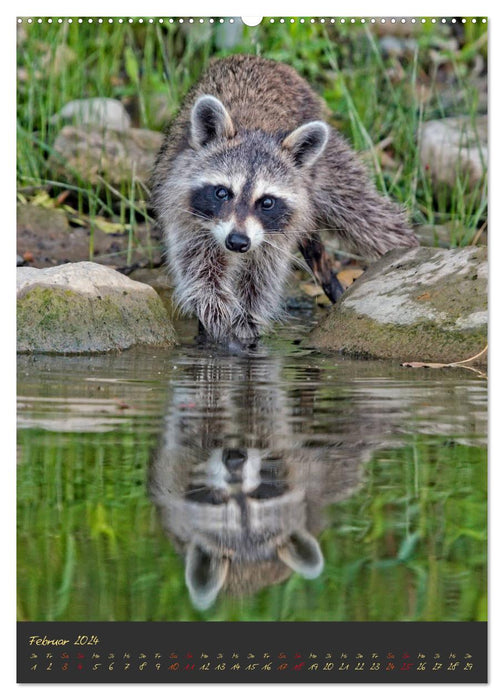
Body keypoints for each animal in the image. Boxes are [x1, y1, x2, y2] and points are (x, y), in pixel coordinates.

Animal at [151, 53, 418, 344]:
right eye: (222, 192)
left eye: (266, 202)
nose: (237, 242)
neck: (253, 127)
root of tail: (261, 59)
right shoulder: (184, 209)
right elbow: (199, 268)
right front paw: (217, 316)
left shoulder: (276, 235)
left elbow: (261, 278)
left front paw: (247, 323)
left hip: (328, 165)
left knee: (367, 215)